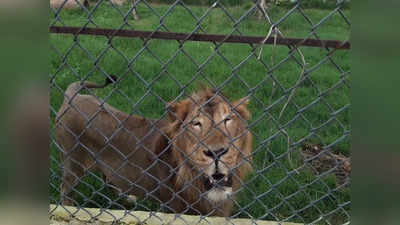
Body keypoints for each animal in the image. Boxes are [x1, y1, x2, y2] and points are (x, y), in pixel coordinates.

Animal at [54, 76, 252, 216]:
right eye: (196, 124)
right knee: (65, 190)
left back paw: (128, 198)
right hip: (73, 164)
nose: (217, 152)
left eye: (228, 119)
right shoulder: (180, 208)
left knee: (109, 178)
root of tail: (73, 96)